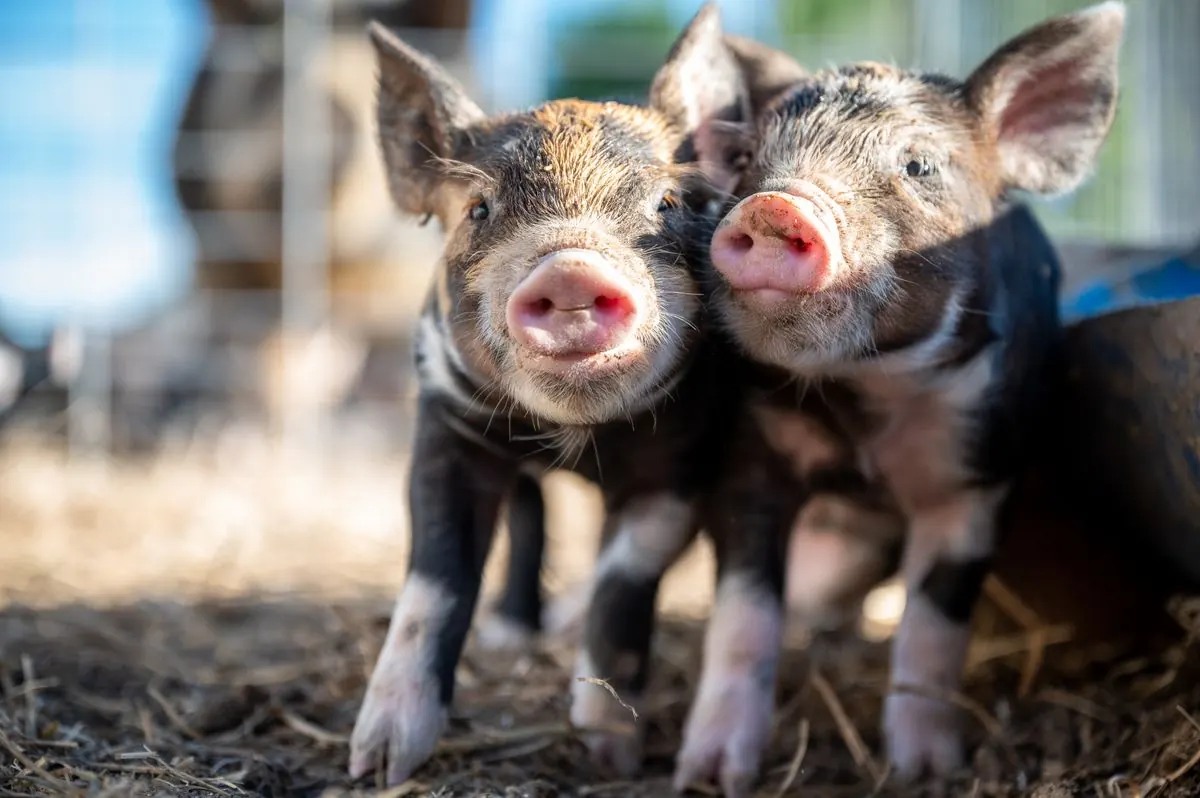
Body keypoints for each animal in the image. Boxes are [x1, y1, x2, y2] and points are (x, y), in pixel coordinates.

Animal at [348, 8, 808, 793]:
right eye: (478, 209)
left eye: (667, 203)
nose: (569, 268)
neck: (578, 435)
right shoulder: (446, 426)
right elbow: (434, 581)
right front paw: (376, 762)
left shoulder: (679, 470)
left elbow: (621, 587)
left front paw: (608, 753)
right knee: (531, 509)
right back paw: (510, 636)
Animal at [694, 1, 1126, 781]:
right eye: (746, 161)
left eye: (917, 164)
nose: (773, 206)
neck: (872, 395)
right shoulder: (751, 457)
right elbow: (743, 615)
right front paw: (710, 777)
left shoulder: (977, 477)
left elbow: (933, 625)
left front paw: (926, 771)